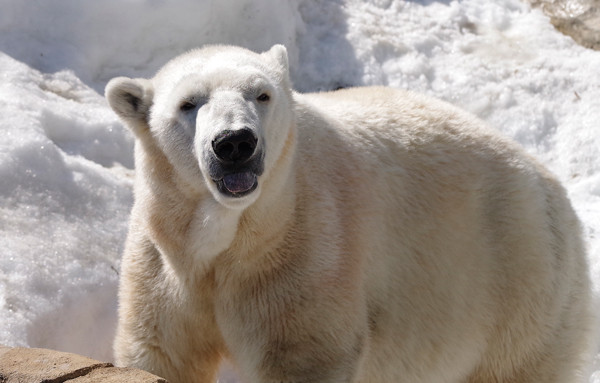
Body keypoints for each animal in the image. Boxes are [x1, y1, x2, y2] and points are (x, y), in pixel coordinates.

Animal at [105, 45, 592, 383]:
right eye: (188, 103)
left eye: (261, 94)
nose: (235, 142)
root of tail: (552, 188)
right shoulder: (166, 267)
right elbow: (161, 352)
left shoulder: (306, 253)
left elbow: (303, 355)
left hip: (519, 286)